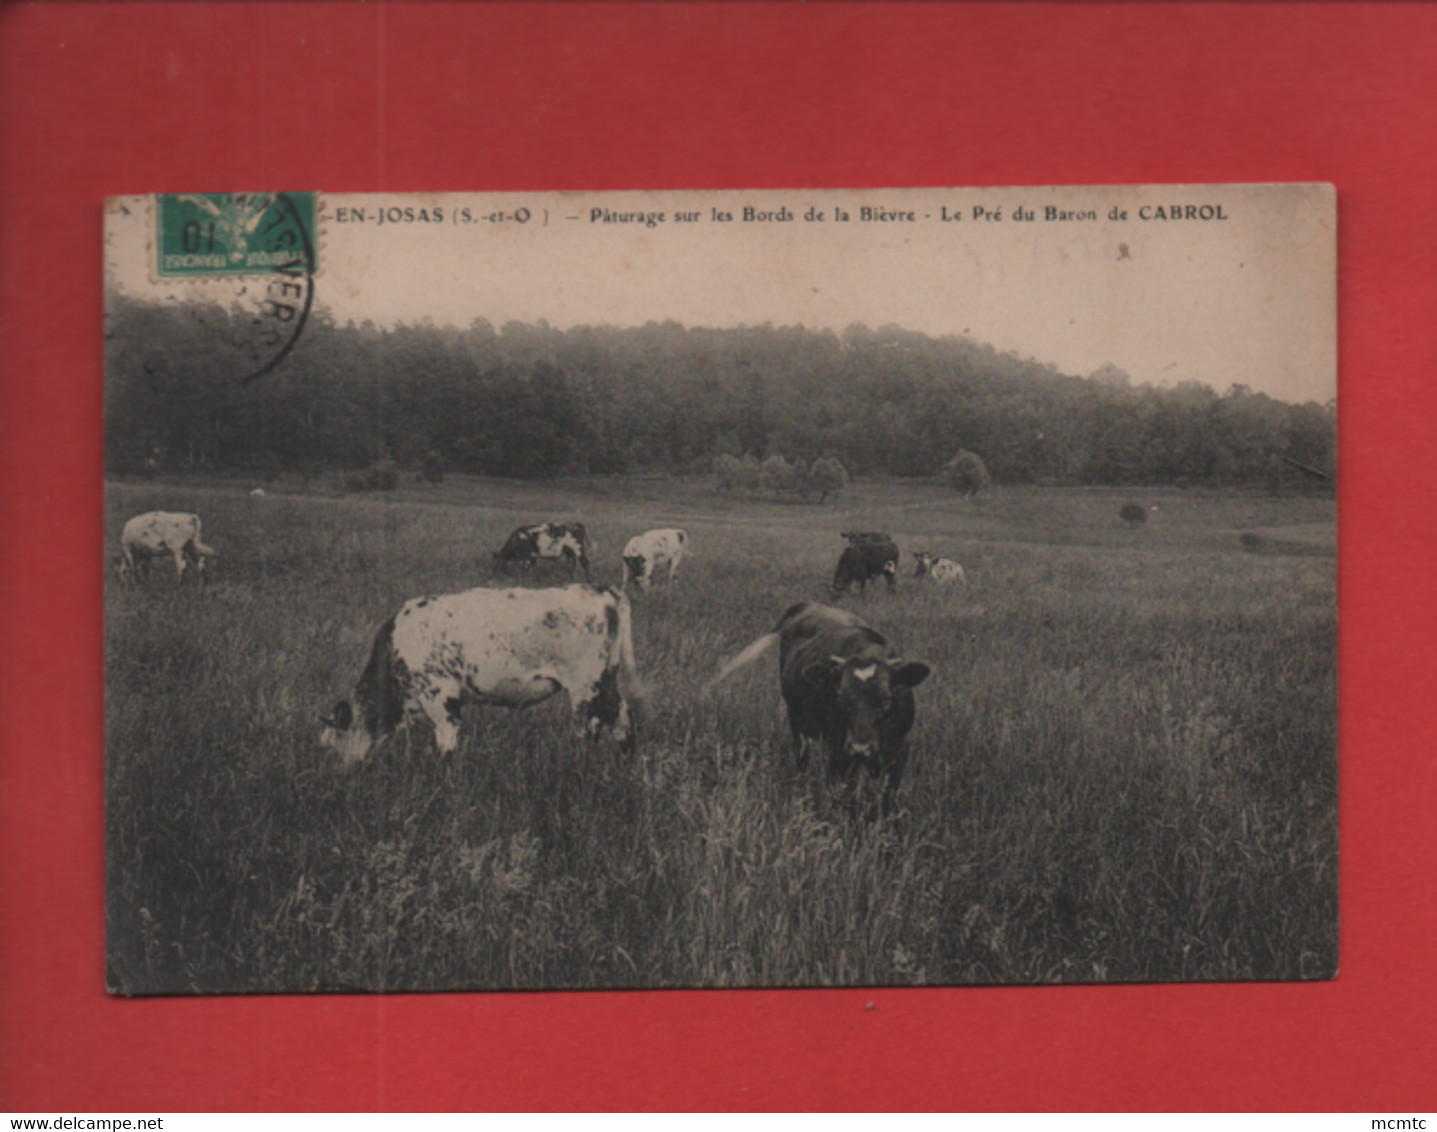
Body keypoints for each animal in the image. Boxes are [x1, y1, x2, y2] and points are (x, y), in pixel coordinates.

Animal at [326, 583, 646, 758]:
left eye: (333, 742)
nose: (342, 779)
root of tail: (602, 590)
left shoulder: (440, 696)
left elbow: (447, 746)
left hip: (585, 687)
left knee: (590, 729)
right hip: (606, 681)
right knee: (623, 717)